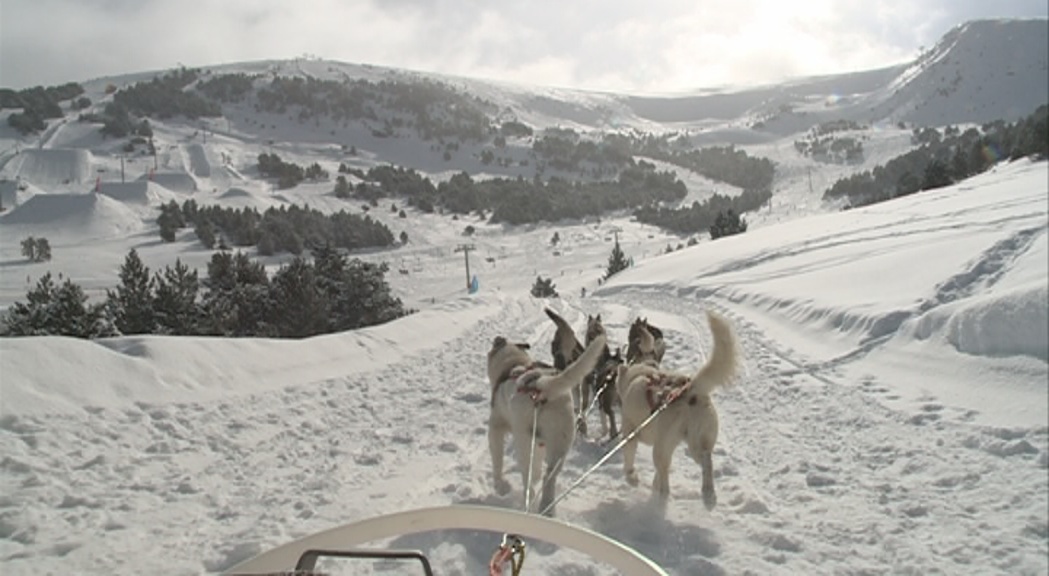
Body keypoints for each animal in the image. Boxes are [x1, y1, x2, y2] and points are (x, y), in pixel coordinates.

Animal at [484, 329, 608, 514]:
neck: (513, 364)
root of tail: (542, 387)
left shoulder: (496, 428)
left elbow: (497, 459)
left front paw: (501, 486)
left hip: (525, 442)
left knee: (531, 477)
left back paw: (530, 501)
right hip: (560, 443)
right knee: (548, 477)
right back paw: (546, 508)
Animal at [612, 310, 738, 507]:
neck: (641, 372)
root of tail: (690, 390)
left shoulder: (630, 434)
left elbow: (629, 461)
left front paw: (632, 478)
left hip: (662, 447)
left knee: (665, 477)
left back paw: (660, 499)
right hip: (696, 443)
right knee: (706, 461)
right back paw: (708, 494)